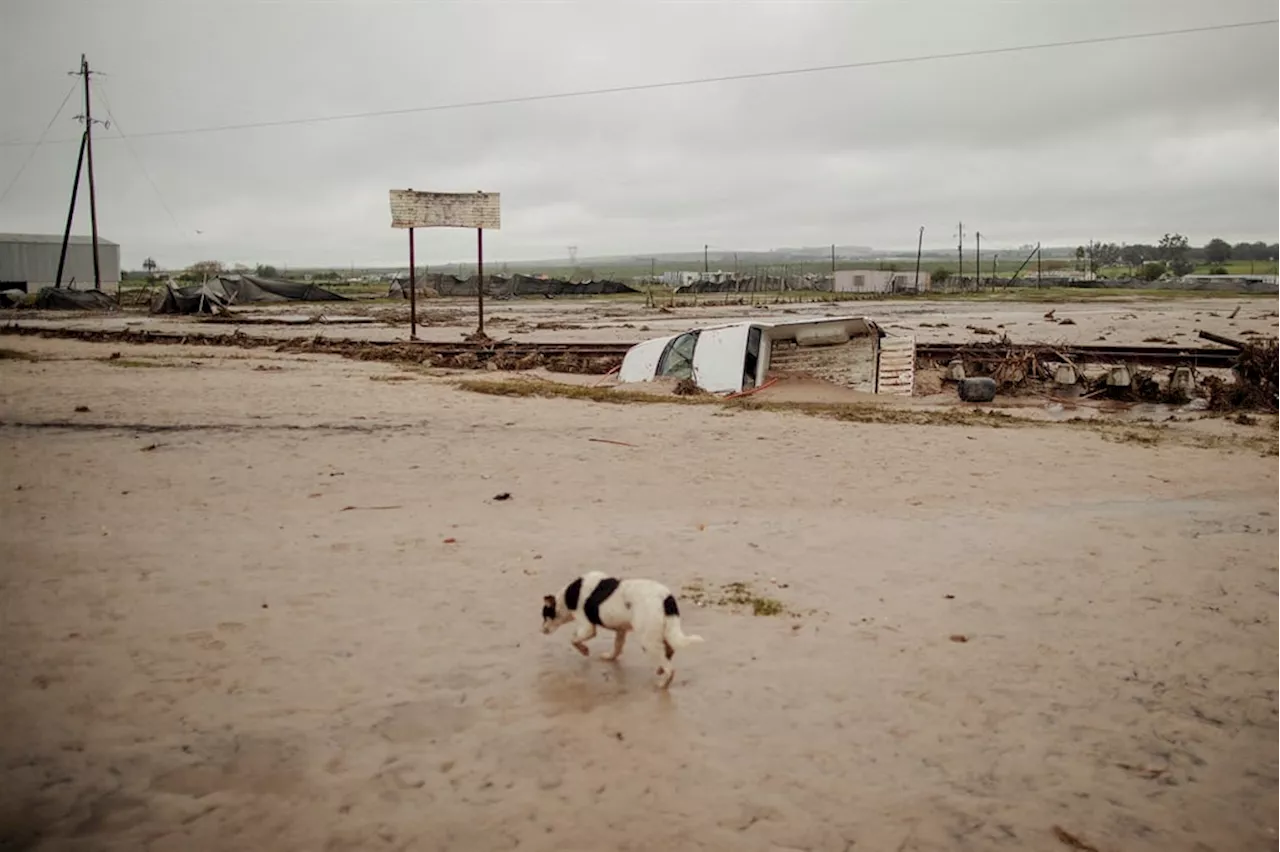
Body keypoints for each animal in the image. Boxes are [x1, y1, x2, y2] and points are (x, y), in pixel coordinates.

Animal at [537, 570, 701, 685]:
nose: (541, 631)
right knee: (670, 650)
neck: (567, 597)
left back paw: (663, 683)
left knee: (669, 667)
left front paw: (584, 650)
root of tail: (666, 599)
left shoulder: (588, 628)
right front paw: (610, 657)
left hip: (647, 640)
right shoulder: (621, 630)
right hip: (665, 631)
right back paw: (661, 670)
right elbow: (617, 646)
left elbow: (573, 639)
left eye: (545, 615)